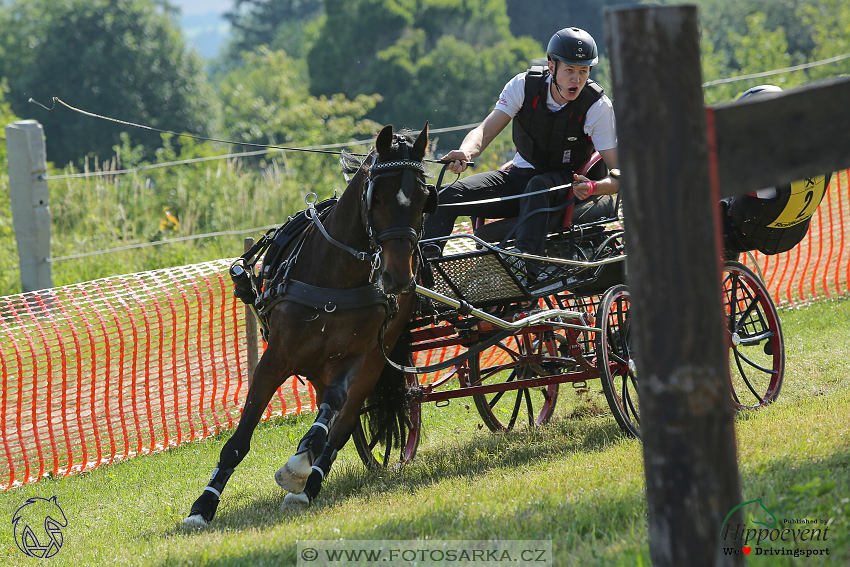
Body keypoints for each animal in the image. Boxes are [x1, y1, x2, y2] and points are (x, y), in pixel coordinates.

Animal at [184, 123, 438, 528]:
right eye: (378, 196)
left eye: (423, 198)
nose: (398, 278)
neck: (336, 278)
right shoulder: (276, 358)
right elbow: (240, 438)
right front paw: (203, 506)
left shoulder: (355, 358)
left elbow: (331, 415)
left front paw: (299, 467)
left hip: (371, 362)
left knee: (342, 423)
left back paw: (310, 484)